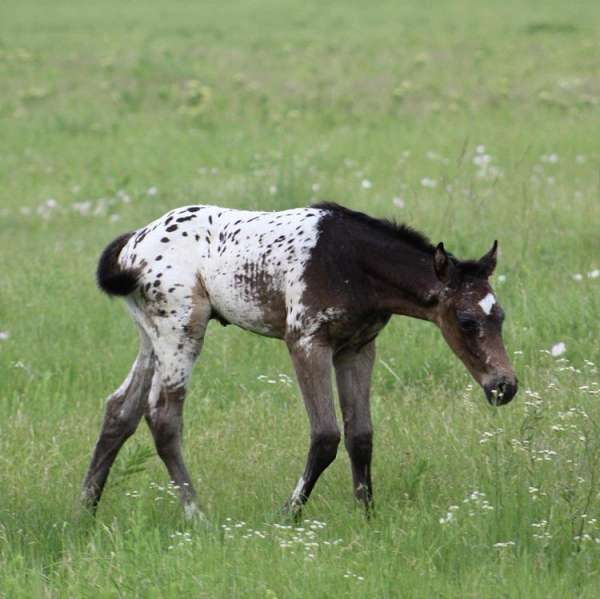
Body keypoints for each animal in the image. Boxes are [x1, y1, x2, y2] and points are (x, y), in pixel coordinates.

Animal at [82, 202, 516, 520]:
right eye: (466, 320)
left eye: (500, 316)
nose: (504, 387)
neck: (352, 262)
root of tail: (134, 242)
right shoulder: (306, 342)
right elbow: (325, 436)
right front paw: (288, 514)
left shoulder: (358, 348)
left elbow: (361, 435)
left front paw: (368, 516)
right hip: (182, 330)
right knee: (162, 414)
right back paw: (197, 516)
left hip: (152, 336)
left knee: (121, 409)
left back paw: (85, 510)